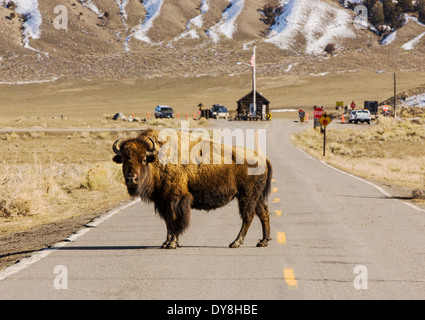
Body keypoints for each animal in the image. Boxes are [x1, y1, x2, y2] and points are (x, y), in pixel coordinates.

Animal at [112, 129, 272, 249]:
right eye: (124, 160)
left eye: (144, 159)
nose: (132, 179)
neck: (157, 158)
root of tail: (263, 158)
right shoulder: (163, 202)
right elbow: (168, 222)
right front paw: (166, 243)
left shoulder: (174, 200)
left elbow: (174, 221)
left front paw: (172, 243)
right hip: (256, 196)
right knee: (263, 213)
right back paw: (263, 241)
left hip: (247, 195)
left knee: (248, 216)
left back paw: (236, 242)